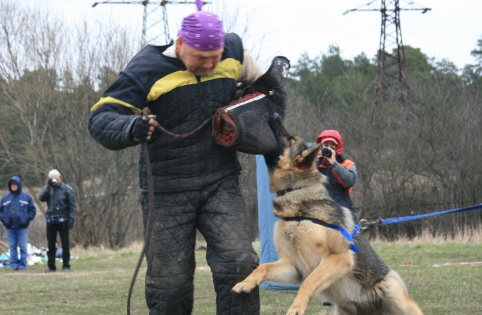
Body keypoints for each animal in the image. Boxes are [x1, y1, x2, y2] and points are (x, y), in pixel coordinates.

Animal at [231, 116, 422, 315]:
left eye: (290, 138)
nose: (274, 116)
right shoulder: (292, 266)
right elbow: (264, 267)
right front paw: (246, 283)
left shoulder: (338, 257)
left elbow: (308, 282)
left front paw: (296, 308)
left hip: (401, 302)